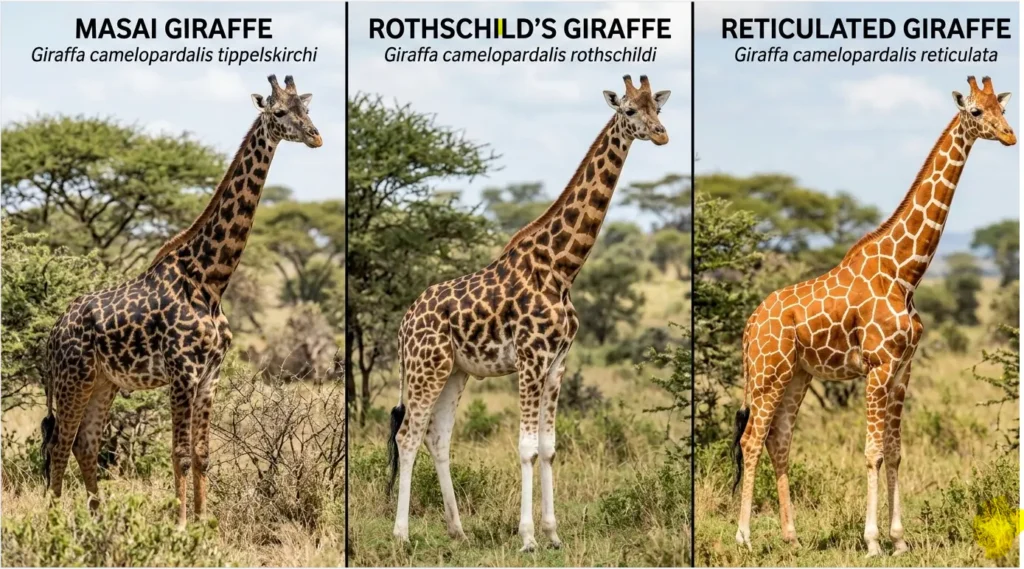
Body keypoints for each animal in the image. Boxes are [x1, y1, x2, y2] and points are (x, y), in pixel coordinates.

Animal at [41, 74, 321, 527]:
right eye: (280, 112)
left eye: (307, 109)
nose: (316, 136)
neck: (210, 281)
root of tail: (52, 334)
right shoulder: (182, 374)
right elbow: (180, 455)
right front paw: (180, 523)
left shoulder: (210, 376)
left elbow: (203, 453)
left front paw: (205, 522)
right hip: (73, 378)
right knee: (59, 445)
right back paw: (54, 525)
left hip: (104, 383)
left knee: (85, 444)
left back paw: (98, 519)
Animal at [385, 75, 671, 551]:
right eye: (630, 110)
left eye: (659, 108)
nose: (662, 134)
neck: (562, 268)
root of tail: (405, 322)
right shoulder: (530, 360)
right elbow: (526, 448)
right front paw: (528, 538)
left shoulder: (556, 365)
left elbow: (549, 448)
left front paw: (553, 535)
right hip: (426, 367)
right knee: (407, 436)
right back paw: (402, 535)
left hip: (455, 371)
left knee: (437, 437)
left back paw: (458, 530)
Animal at [732, 76, 1015, 556]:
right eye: (976, 111)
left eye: (1002, 107)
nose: (1010, 136)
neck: (905, 273)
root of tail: (750, 324)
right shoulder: (878, 367)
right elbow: (873, 452)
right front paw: (872, 541)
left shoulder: (902, 370)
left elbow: (896, 451)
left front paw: (898, 540)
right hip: (769, 373)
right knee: (751, 440)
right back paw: (744, 537)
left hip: (797, 376)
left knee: (779, 440)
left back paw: (791, 536)